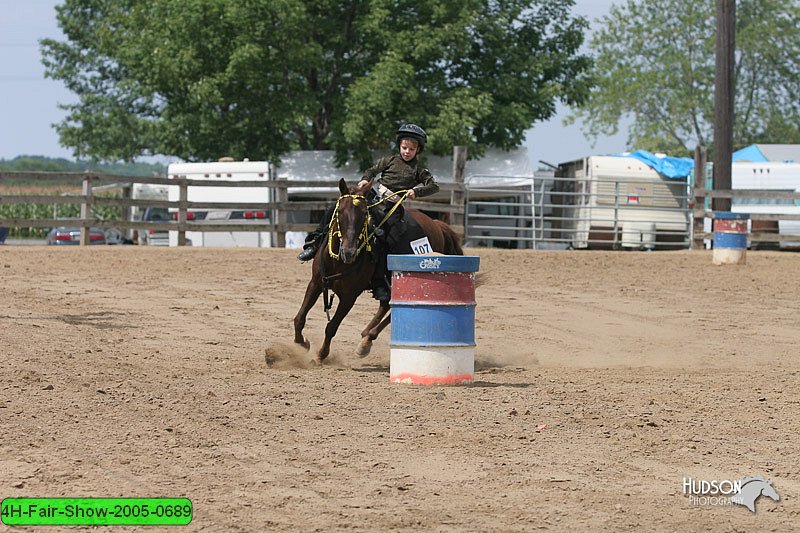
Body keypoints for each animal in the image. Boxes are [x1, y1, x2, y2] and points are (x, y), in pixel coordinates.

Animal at [294, 177, 462, 364]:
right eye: (339, 212)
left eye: (364, 215)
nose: (349, 252)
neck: (338, 261)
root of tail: (437, 224)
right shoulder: (316, 283)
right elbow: (299, 318)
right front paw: (302, 343)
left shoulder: (350, 296)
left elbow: (332, 327)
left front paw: (320, 355)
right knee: (386, 303)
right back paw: (366, 333)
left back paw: (366, 341)